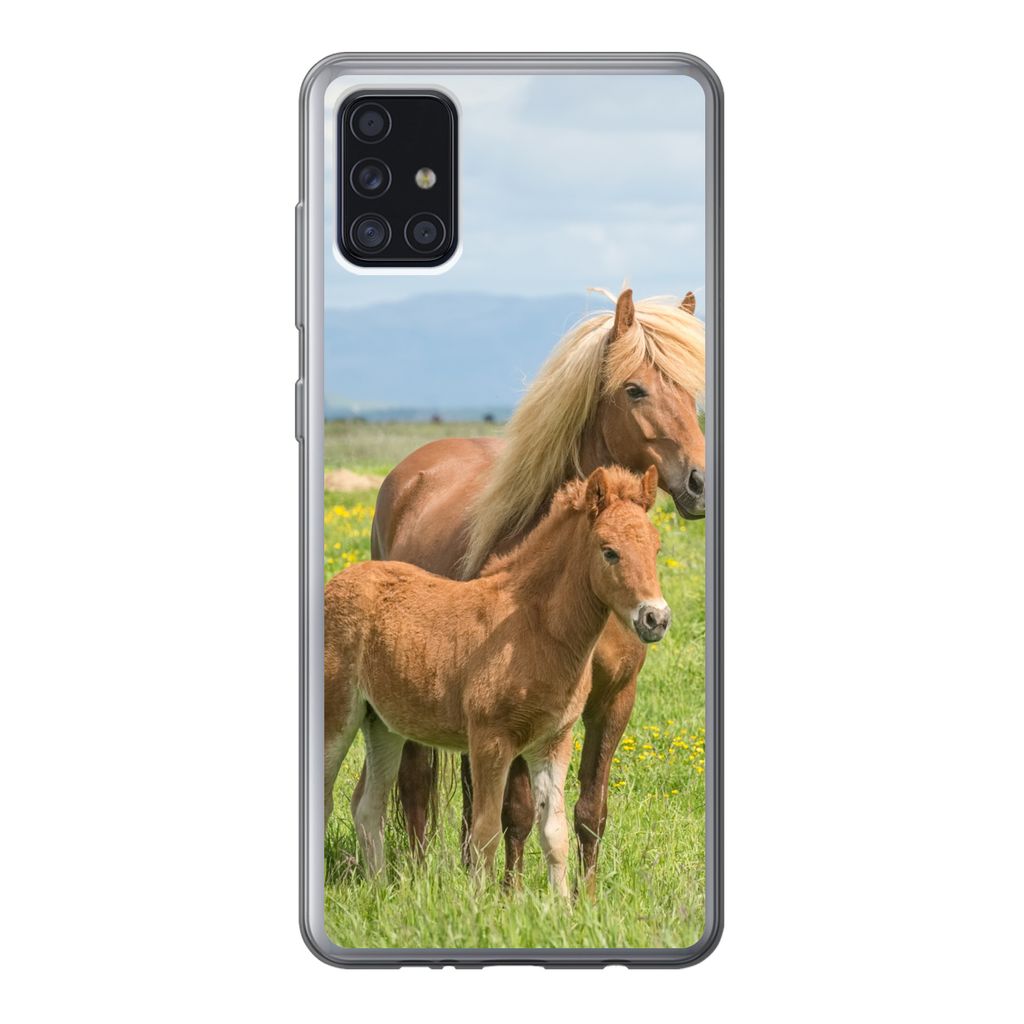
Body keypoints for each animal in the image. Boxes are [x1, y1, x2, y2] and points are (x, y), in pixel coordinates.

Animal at [324, 466, 668, 894]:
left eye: (656, 549)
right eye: (609, 551)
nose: (656, 618)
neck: (532, 627)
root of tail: (338, 580)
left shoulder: (552, 742)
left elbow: (554, 833)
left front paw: (560, 905)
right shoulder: (490, 740)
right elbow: (485, 831)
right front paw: (481, 903)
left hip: (382, 724)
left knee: (368, 806)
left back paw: (381, 889)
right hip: (336, 717)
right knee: (327, 799)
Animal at [362, 287, 705, 894]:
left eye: (691, 389)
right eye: (635, 388)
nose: (700, 483)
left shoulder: (613, 701)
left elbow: (590, 810)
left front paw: (585, 897)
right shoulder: (520, 708)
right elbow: (518, 811)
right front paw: (511, 895)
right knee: (417, 782)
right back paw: (422, 876)